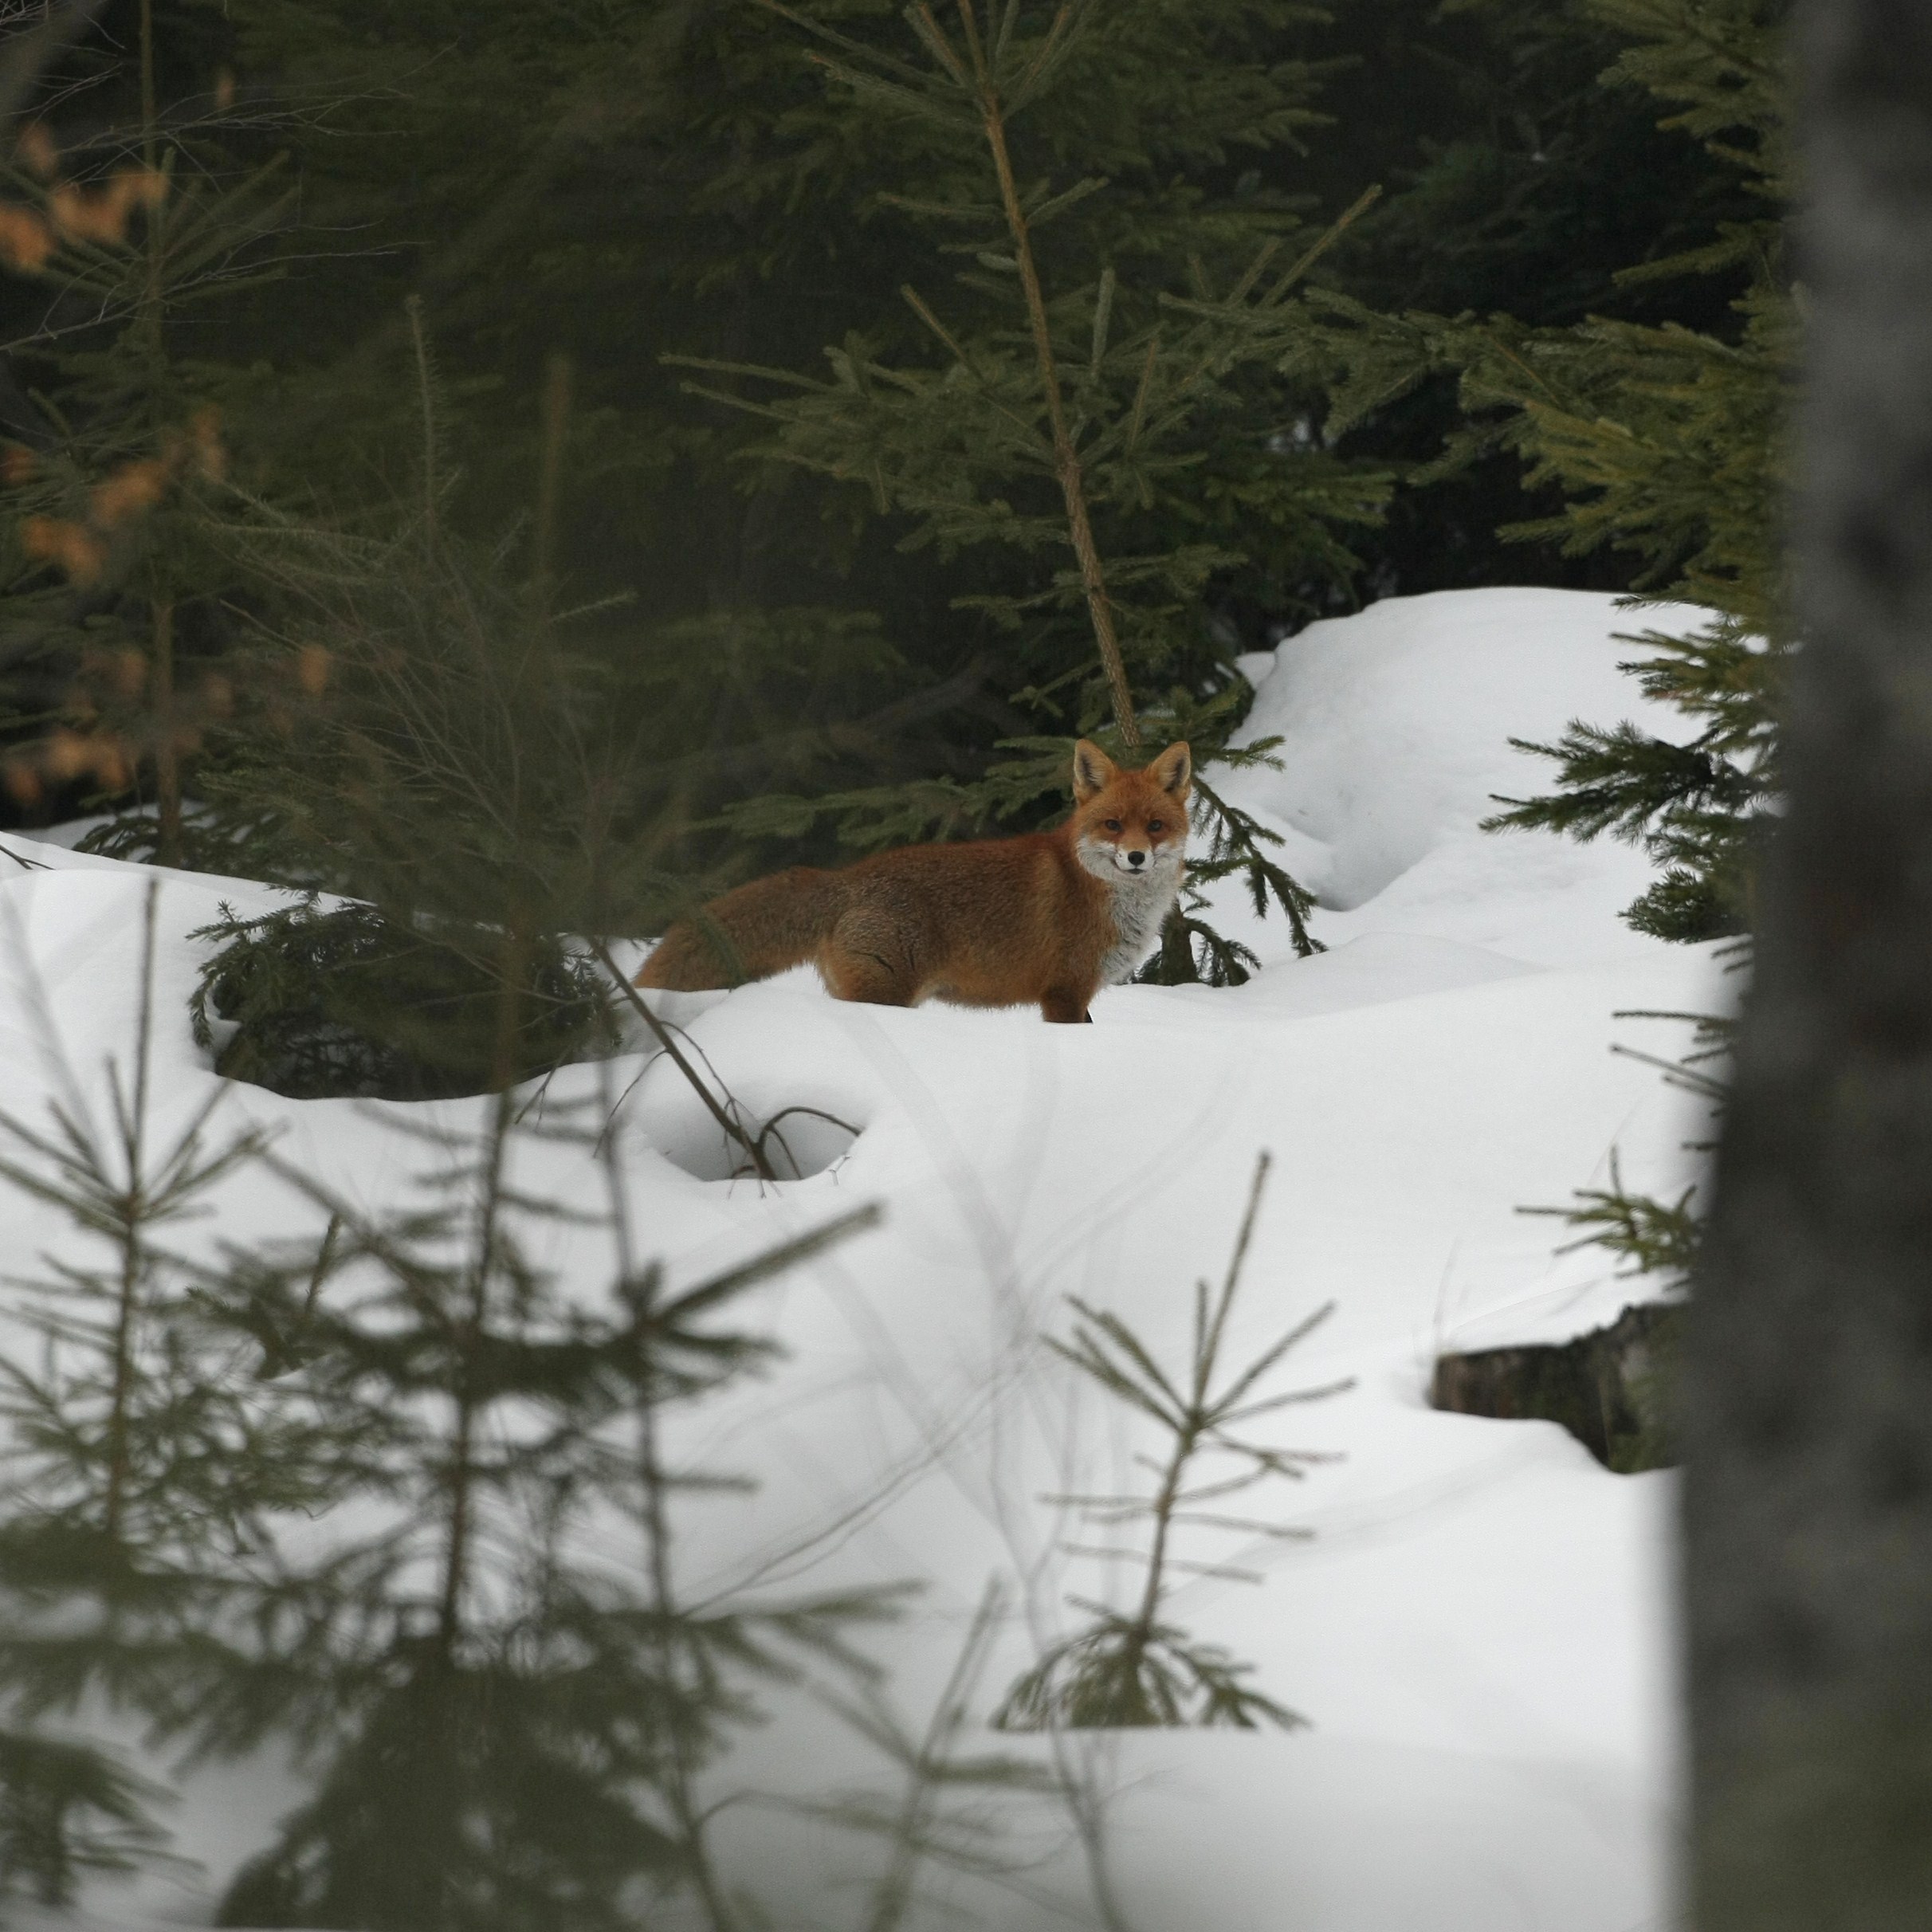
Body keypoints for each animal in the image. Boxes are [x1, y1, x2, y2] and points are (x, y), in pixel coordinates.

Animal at [637, 734, 1190, 1027]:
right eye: (1112, 825)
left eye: (1155, 826)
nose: (1136, 857)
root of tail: (845, 879)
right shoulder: (1064, 992)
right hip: (885, 994)